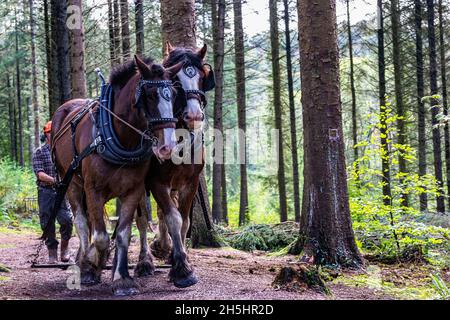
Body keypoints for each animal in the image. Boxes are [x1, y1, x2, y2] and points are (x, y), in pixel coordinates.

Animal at [50, 57, 182, 296]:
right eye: (150, 94)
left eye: (174, 95)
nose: (168, 146)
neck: (120, 137)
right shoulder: (93, 190)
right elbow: (101, 236)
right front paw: (93, 263)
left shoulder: (133, 190)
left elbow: (122, 234)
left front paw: (122, 279)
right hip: (71, 181)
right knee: (82, 223)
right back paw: (85, 264)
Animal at [144, 43, 214, 288]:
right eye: (175, 80)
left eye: (202, 76)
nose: (194, 115)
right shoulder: (156, 182)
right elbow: (172, 217)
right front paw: (181, 270)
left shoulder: (189, 183)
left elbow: (183, 221)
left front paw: (180, 257)